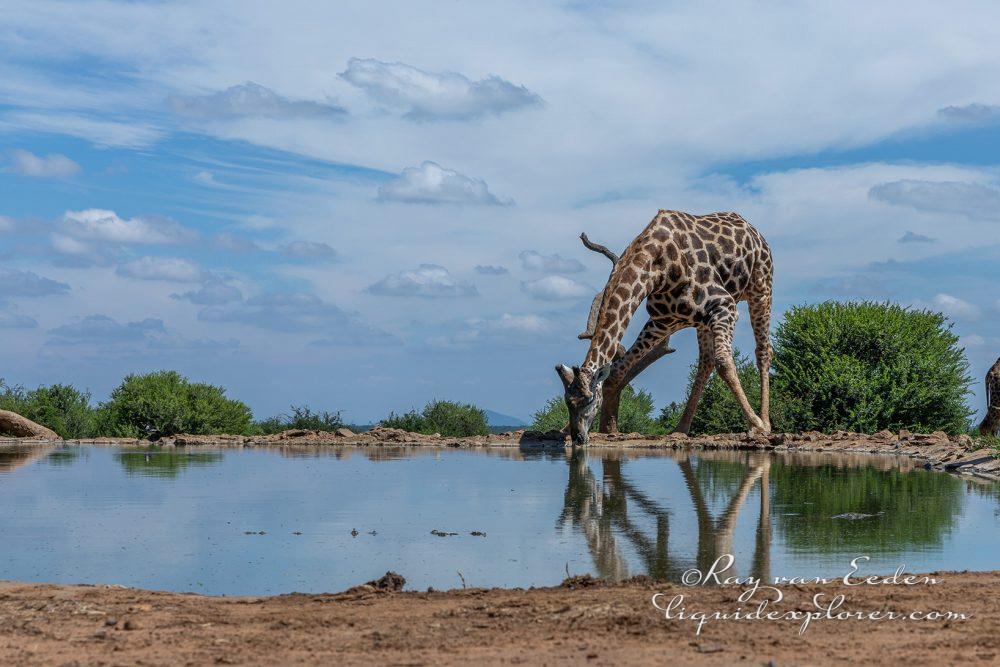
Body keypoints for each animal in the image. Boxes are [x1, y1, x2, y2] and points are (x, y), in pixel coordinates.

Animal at [556, 211, 772, 446]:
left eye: (588, 400)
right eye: (568, 401)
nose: (578, 437)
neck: (657, 267)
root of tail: (752, 228)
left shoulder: (725, 306)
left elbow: (725, 362)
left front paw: (756, 425)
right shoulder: (663, 321)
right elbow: (616, 372)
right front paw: (595, 429)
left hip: (761, 288)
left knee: (763, 351)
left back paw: (765, 421)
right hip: (701, 322)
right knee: (706, 362)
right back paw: (681, 428)